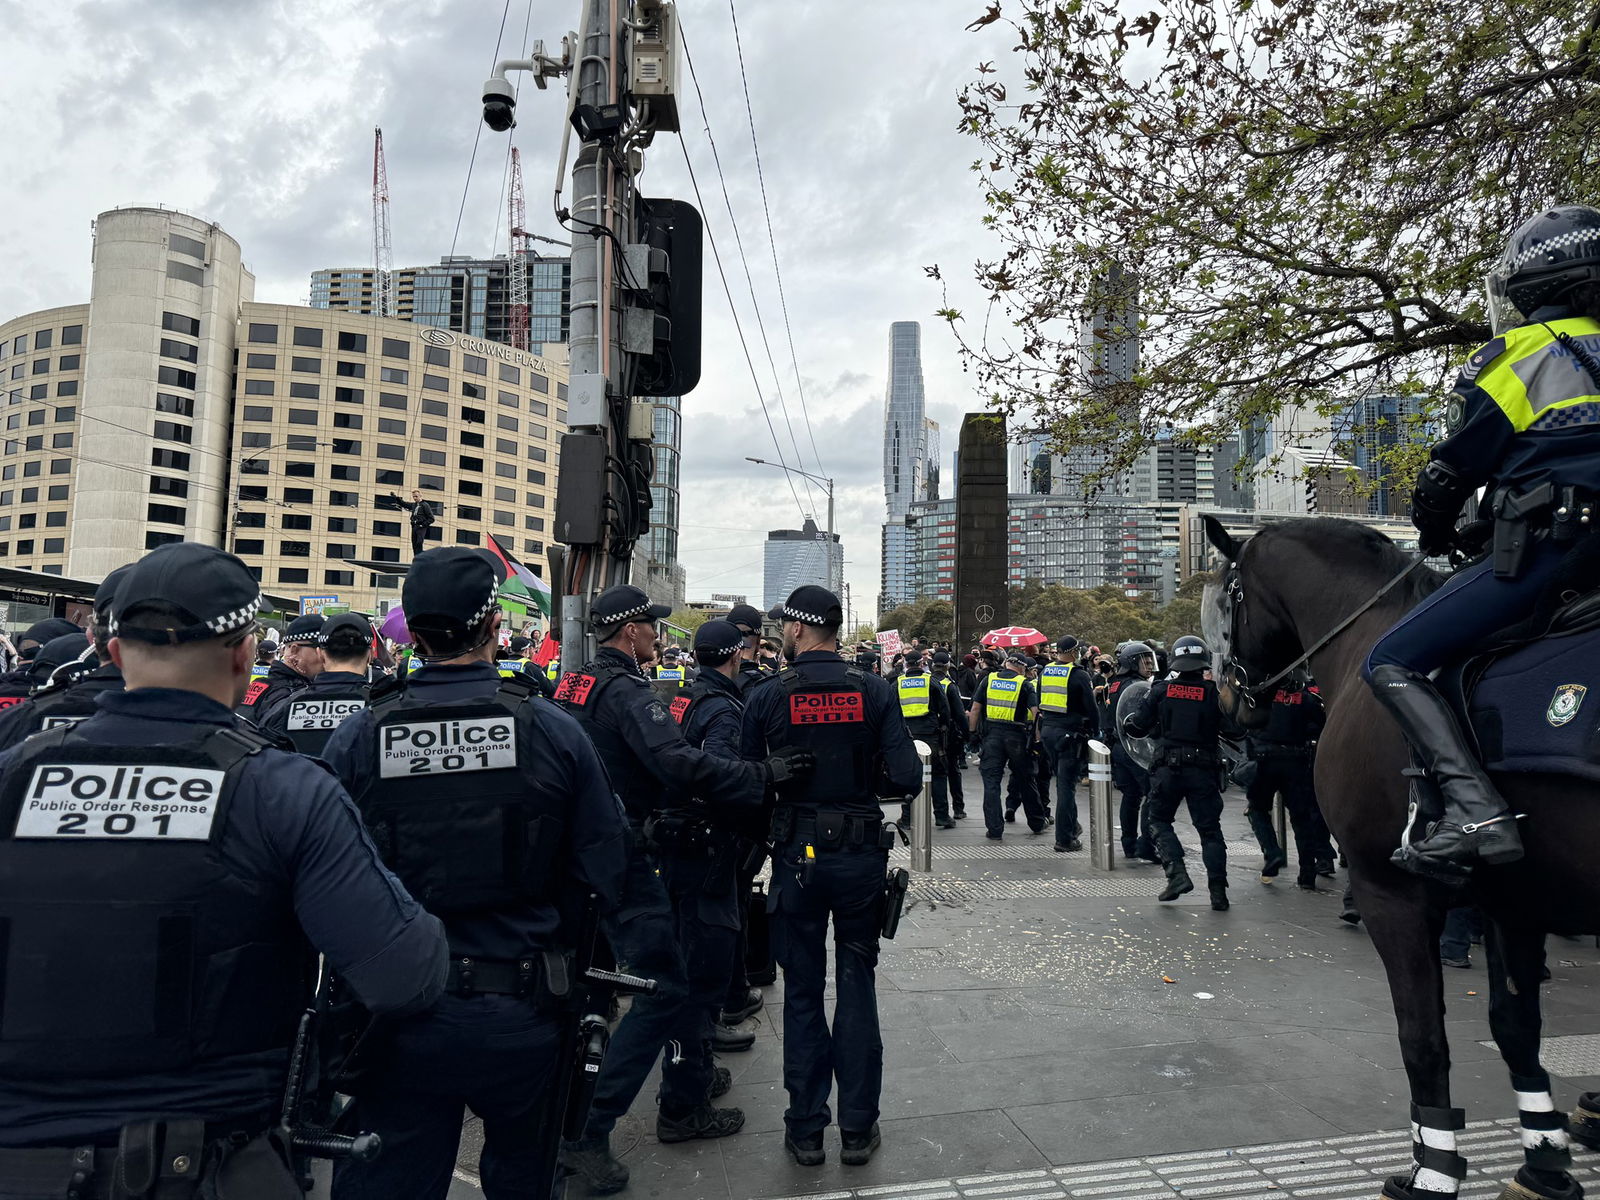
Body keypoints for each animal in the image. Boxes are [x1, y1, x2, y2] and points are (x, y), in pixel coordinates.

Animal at [1203, 518, 1600, 1200]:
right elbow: (1515, 1026)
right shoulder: (1512, 900)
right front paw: (1543, 1163)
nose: (1230, 701)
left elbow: (1421, 1035)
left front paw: (1432, 1167)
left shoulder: (1389, 889)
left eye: (1229, 602)